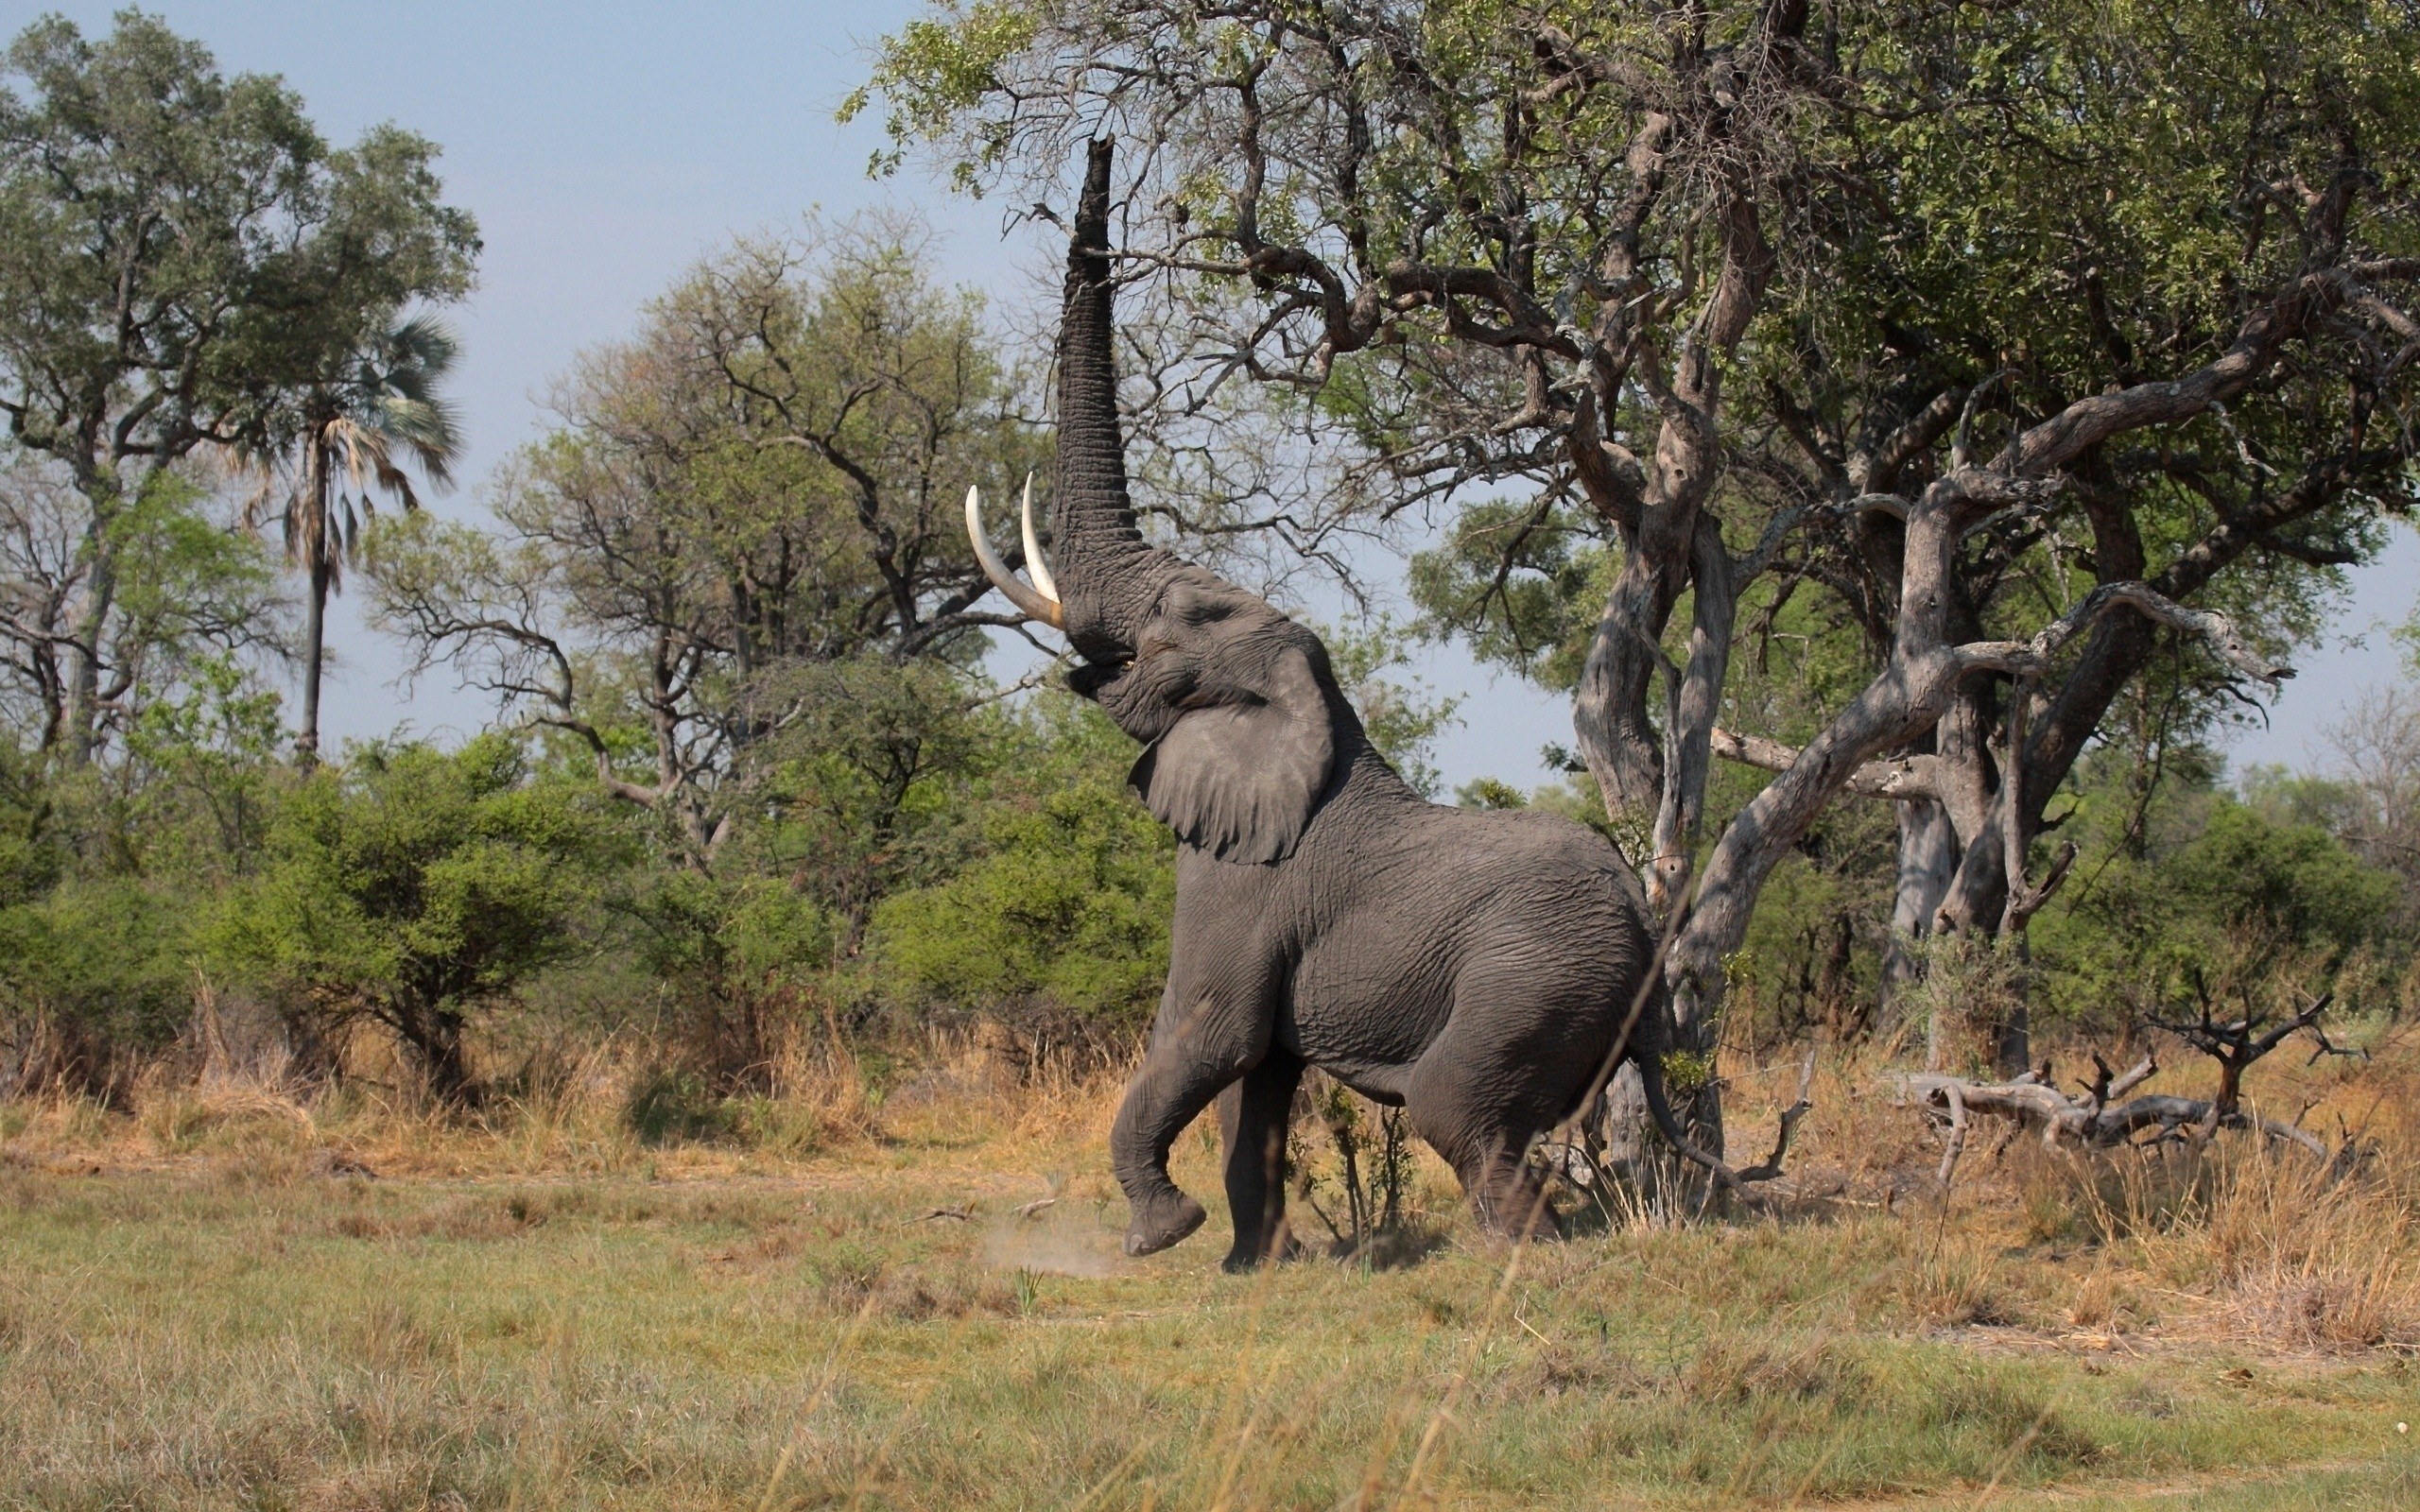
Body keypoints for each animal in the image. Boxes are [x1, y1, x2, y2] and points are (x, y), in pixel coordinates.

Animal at [966, 139, 1709, 1270]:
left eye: (1179, 620)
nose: (1101, 144)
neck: (1307, 707)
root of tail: (1642, 915)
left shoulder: (1240, 882)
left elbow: (1210, 1032)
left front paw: (1160, 1236)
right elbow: (1257, 1082)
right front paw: (1252, 1267)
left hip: (1534, 977)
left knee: (1456, 1109)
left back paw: (1519, 1256)